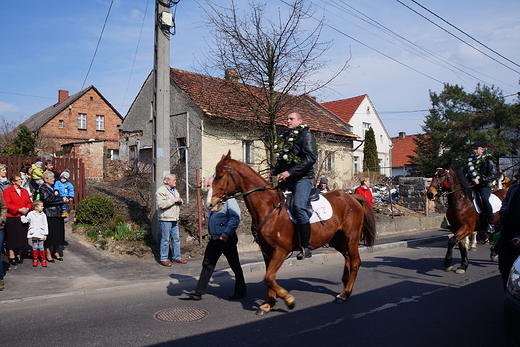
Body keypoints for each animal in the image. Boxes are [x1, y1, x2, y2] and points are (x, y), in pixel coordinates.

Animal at [209, 154, 376, 316]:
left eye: (220, 176)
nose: (212, 204)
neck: (268, 207)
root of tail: (351, 197)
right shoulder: (266, 251)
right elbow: (269, 278)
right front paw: (268, 304)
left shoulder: (281, 250)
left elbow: (268, 277)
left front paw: (288, 300)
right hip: (337, 239)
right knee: (347, 258)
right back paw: (345, 288)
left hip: (351, 238)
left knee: (355, 262)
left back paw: (345, 294)